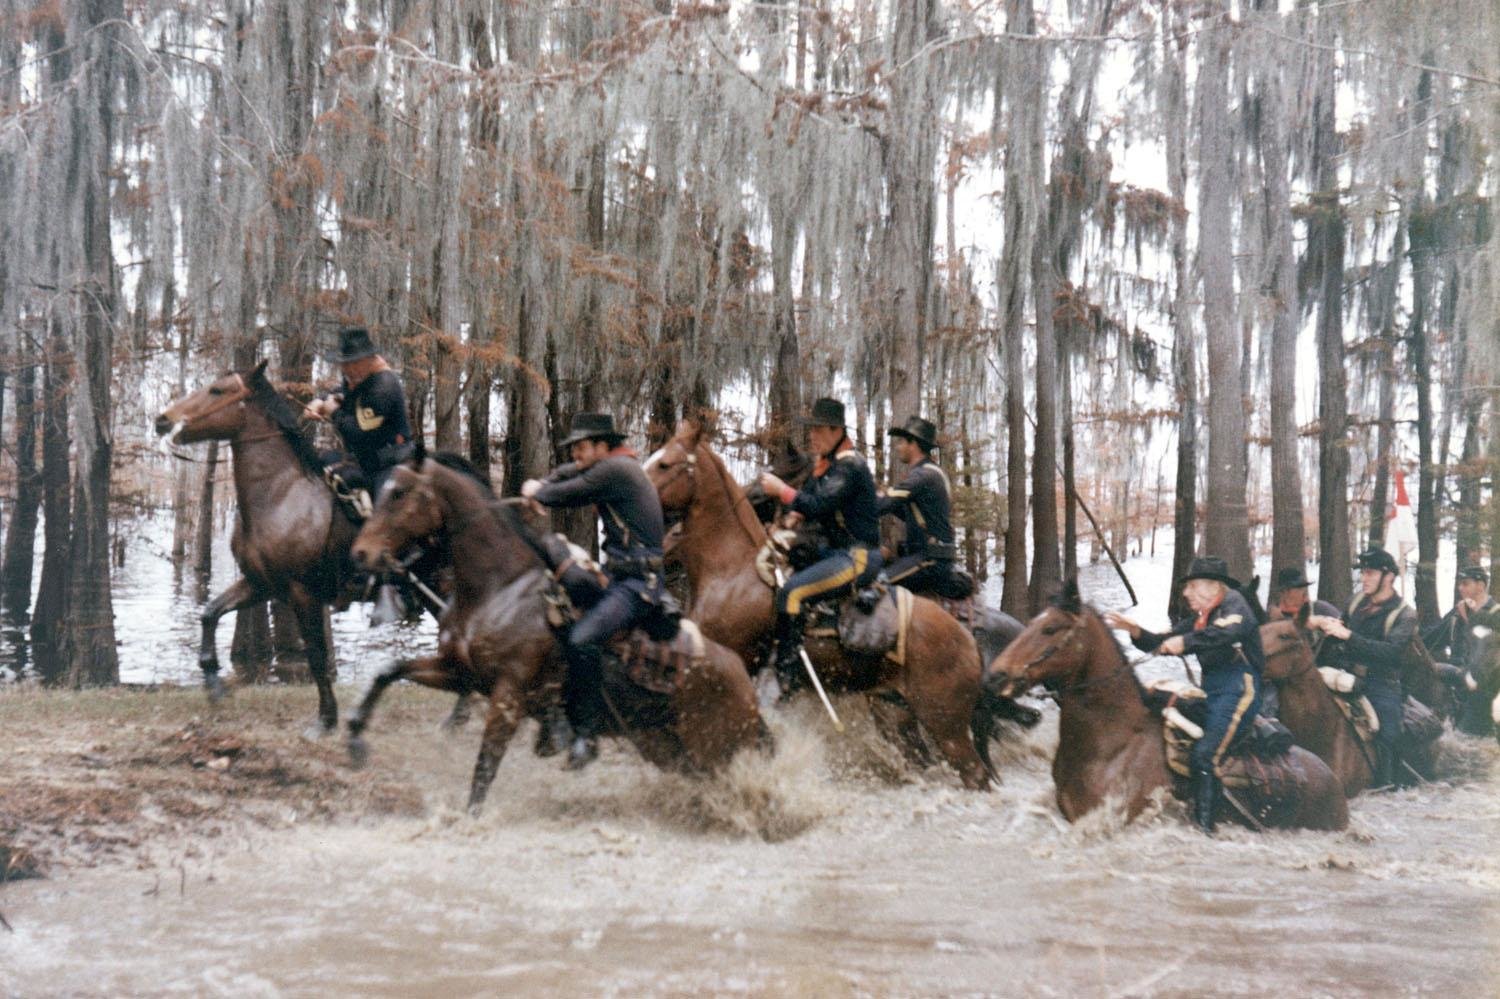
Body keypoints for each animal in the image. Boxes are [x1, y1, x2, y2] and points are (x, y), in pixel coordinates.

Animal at [345, 447, 768, 816]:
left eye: (399, 493)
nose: (361, 554)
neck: (499, 589)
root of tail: (740, 677)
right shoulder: (459, 672)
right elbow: (388, 672)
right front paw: (354, 739)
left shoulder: (508, 696)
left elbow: (486, 764)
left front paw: (470, 816)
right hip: (665, 745)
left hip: (715, 747)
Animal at [645, 417, 996, 786]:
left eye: (665, 464)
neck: (732, 572)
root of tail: (967, 638)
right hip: (895, 712)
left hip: (946, 725)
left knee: (974, 774)